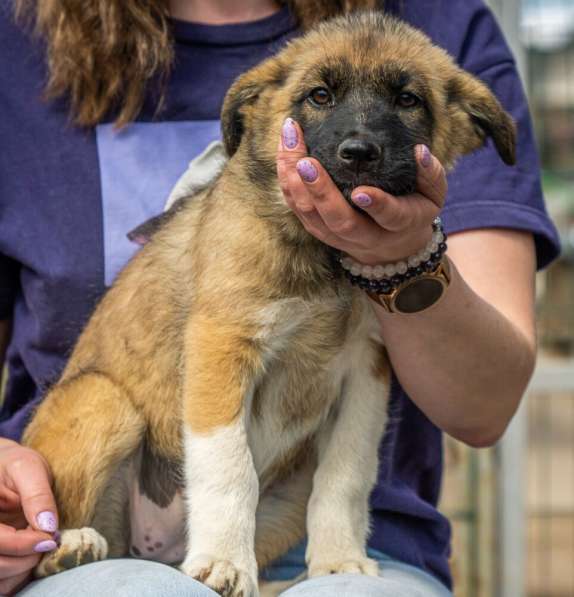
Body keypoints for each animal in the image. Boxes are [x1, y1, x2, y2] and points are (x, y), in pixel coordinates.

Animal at [22, 10, 516, 596]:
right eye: (320, 95)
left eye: (408, 99)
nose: (358, 154)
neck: (325, 263)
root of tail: (155, 549)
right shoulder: (222, 345)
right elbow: (229, 466)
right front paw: (223, 562)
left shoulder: (366, 372)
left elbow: (345, 476)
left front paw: (339, 560)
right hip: (103, 400)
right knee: (51, 538)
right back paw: (71, 547)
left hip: (287, 493)